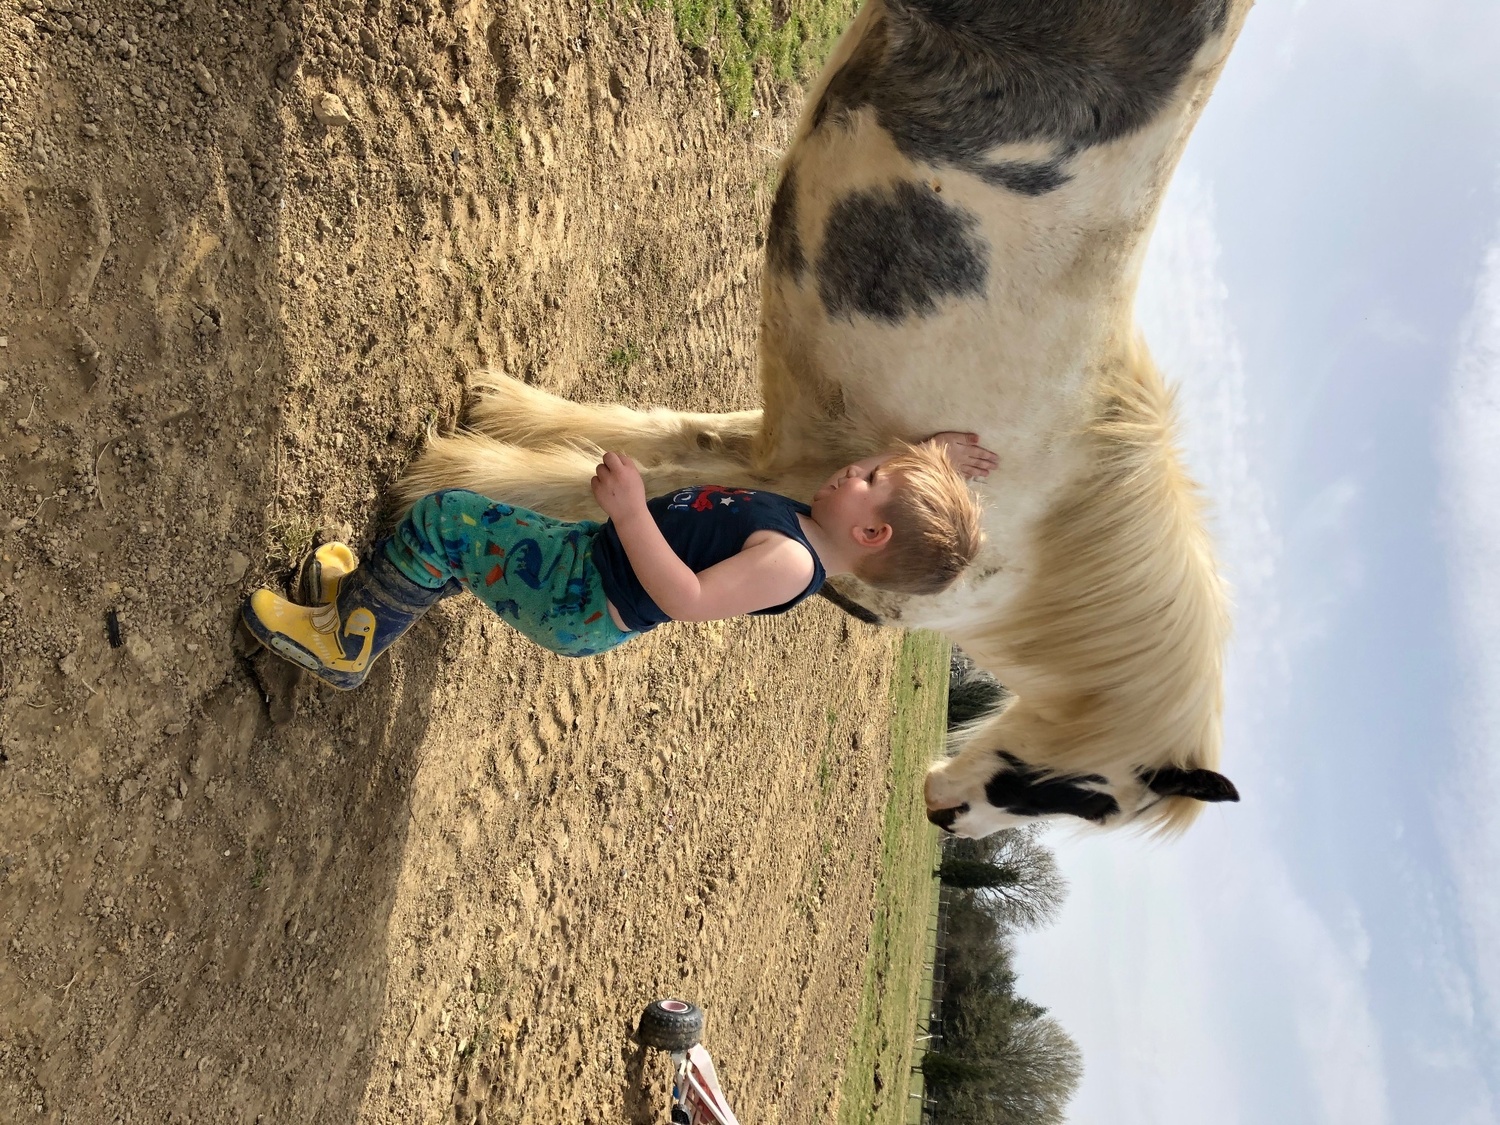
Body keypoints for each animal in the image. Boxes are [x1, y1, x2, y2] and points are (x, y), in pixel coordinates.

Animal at [398, 0, 1252, 838]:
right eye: (1088, 796)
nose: (945, 817)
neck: (1037, 538)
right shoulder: (804, 478)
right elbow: (629, 479)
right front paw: (458, 471)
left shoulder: (798, 455)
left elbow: (669, 443)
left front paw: (500, 418)